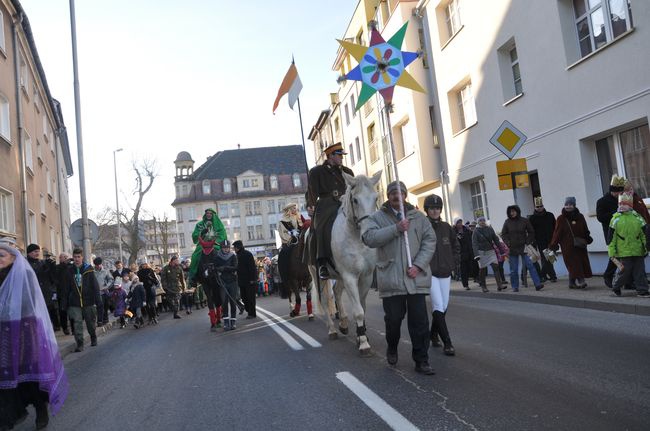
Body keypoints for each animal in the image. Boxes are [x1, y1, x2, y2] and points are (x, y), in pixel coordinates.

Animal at [308, 170, 380, 356]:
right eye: (355, 200)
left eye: (376, 198)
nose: (369, 233)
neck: (355, 238)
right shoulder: (349, 277)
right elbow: (358, 311)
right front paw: (363, 343)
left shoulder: (366, 277)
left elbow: (362, 307)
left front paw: (361, 336)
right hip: (318, 274)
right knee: (325, 300)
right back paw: (332, 330)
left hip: (338, 276)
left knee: (337, 292)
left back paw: (343, 323)